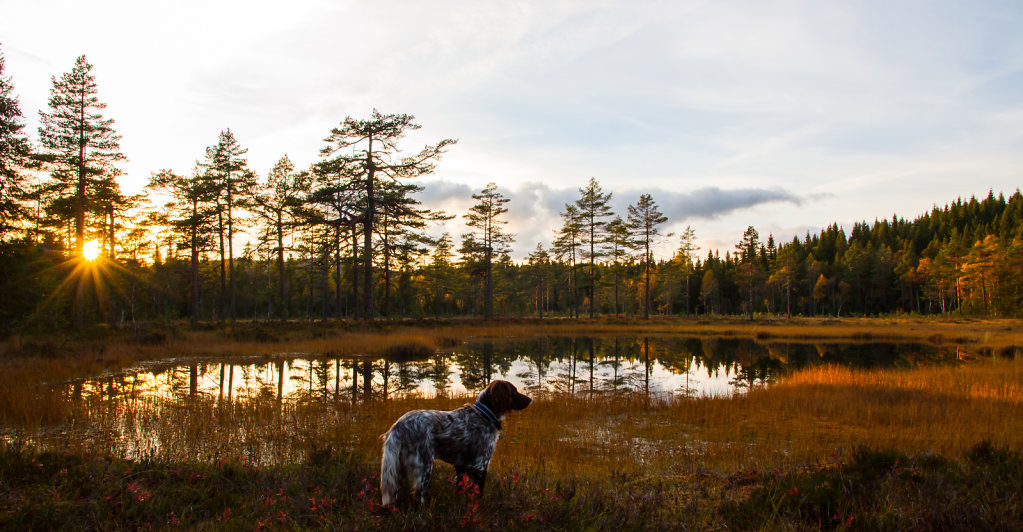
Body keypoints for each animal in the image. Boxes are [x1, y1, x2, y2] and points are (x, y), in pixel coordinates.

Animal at [380, 378, 531, 507]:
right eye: (514, 390)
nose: (530, 399)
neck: (484, 415)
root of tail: (398, 426)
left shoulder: (461, 466)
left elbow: (460, 488)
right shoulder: (481, 465)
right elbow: (479, 493)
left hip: (398, 469)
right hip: (425, 467)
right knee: (418, 496)